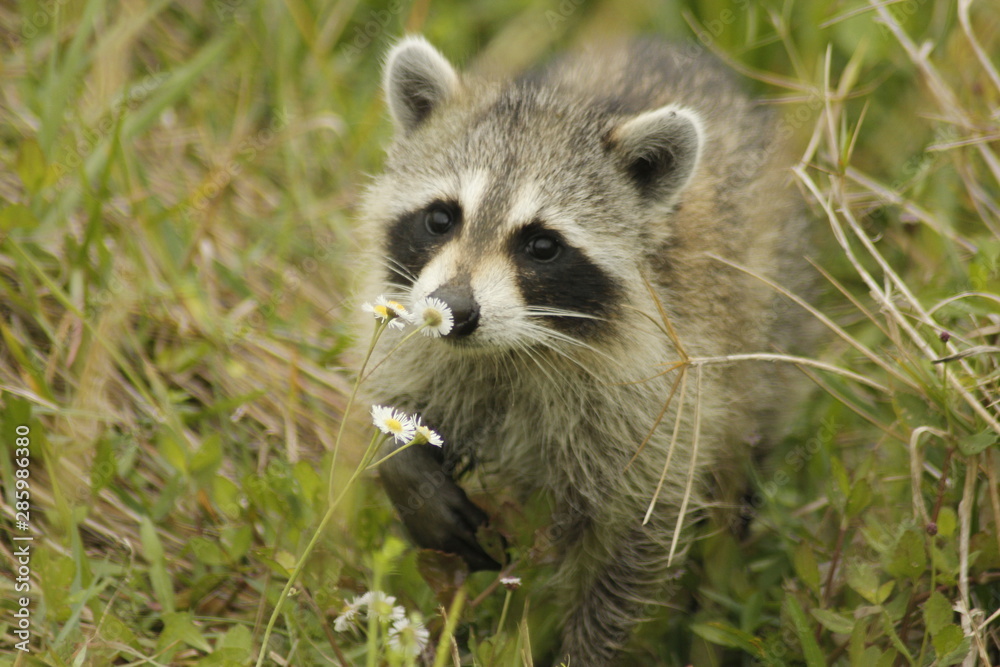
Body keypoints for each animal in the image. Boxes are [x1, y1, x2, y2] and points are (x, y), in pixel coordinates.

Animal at [360, 37, 812, 667]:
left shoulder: (660, 399)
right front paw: (407, 474)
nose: (452, 312)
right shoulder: (419, 332)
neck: (511, 351)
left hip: (770, 332)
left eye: (542, 246)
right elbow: (395, 410)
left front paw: (589, 648)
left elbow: (632, 550)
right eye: (441, 217)